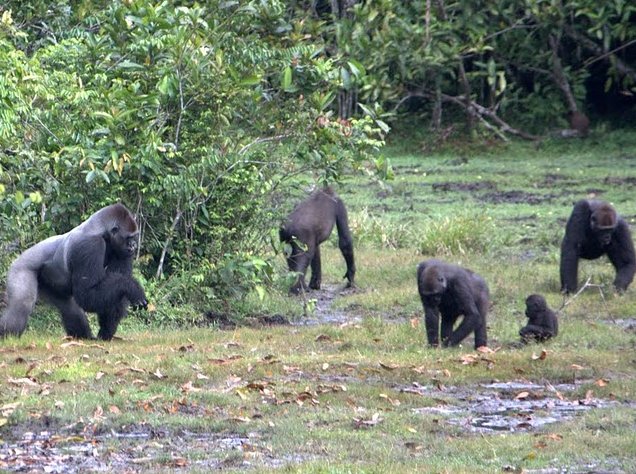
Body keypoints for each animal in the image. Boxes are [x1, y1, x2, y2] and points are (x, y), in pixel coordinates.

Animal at [0, 204, 147, 340]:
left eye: (134, 237)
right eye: (129, 237)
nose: (134, 245)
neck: (100, 229)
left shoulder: (121, 252)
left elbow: (117, 291)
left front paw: (106, 331)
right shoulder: (90, 245)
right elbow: (88, 294)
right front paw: (132, 287)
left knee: (70, 309)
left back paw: (83, 336)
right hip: (20, 268)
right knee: (21, 307)